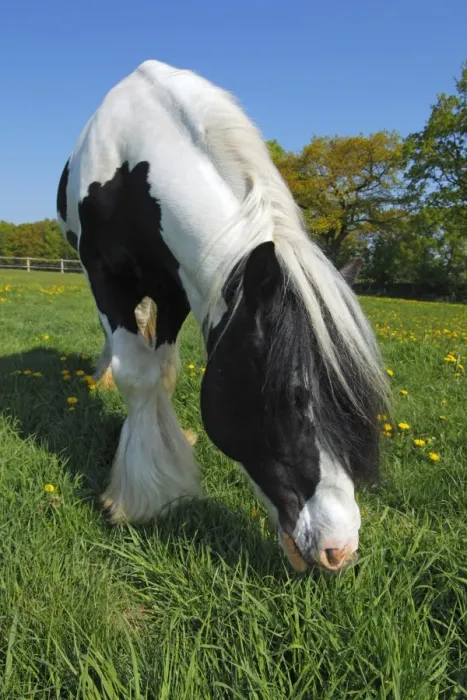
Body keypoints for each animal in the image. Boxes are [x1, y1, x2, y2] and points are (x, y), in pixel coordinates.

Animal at [56, 59, 388, 573]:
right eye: (289, 398)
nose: (340, 549)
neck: (129, 173)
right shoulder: (103, 275)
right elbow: (138, 375)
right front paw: (146, 494)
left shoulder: (176, 288)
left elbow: (161, 372)